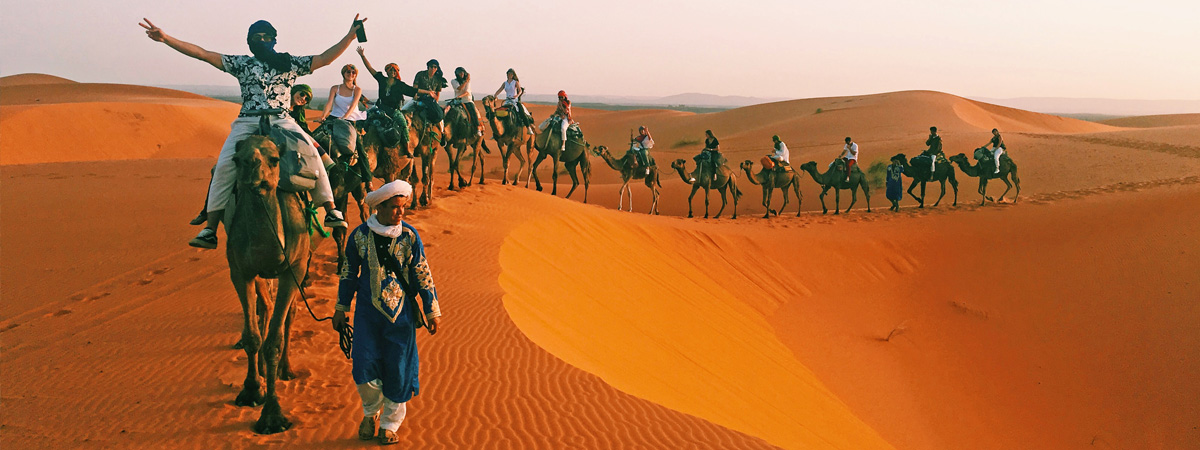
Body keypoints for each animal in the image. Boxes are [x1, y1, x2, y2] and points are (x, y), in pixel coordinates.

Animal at [225, 135, 309, 434]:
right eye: (237, 160)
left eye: (274, 159)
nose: (255, 178)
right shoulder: (240, 271)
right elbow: (253, 336)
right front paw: (252, 390)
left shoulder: (293, 269)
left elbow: (274, 339)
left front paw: (273, 415)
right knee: (266, 309)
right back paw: (261, 371)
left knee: (288, 315)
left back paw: (286, 369)